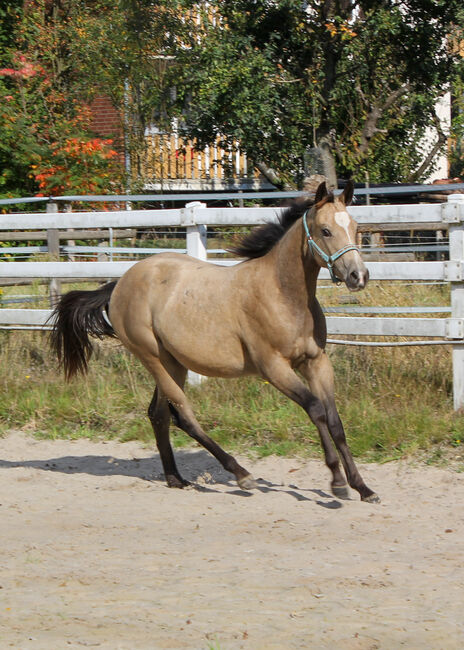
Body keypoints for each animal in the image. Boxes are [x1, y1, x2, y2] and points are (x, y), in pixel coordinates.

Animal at [50, 181, 379, 503]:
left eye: (355, 227)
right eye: (325, 231)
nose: (358, 276)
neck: (282, 293)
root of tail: (120, 284)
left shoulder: (316, 362)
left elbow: (335, 421)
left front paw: (363, 488)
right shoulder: (274, 368)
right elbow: (316, 409)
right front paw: (337, 483)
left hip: (174, 363)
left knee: (159, 414)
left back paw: (175, 478)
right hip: (153, 358)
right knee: (183, 416)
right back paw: (241, 474)